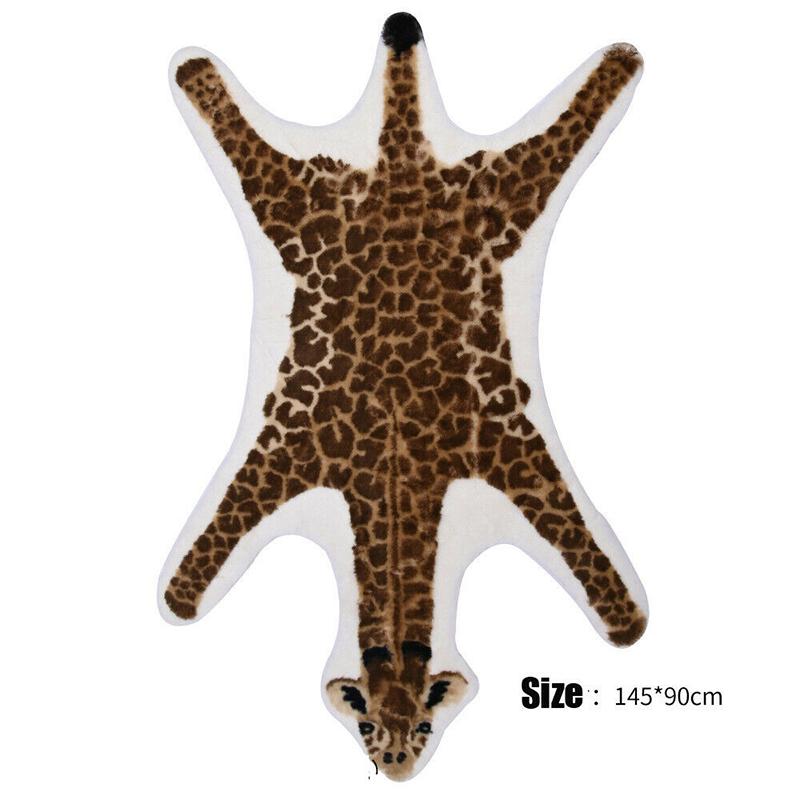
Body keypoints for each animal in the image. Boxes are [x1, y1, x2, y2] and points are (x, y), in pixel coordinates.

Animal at [159, 12, 648, 781]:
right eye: (363, 725)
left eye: (426, 725)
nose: (394, 766)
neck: (390, 470)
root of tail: (401, 163)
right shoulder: (285, 450)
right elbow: (221, 531)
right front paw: (181, 595)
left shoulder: (506, 446)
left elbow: (573, 534)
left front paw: (623, 616)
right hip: (301, 202)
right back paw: (199, 75)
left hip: (491, 196)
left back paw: (614, 67)